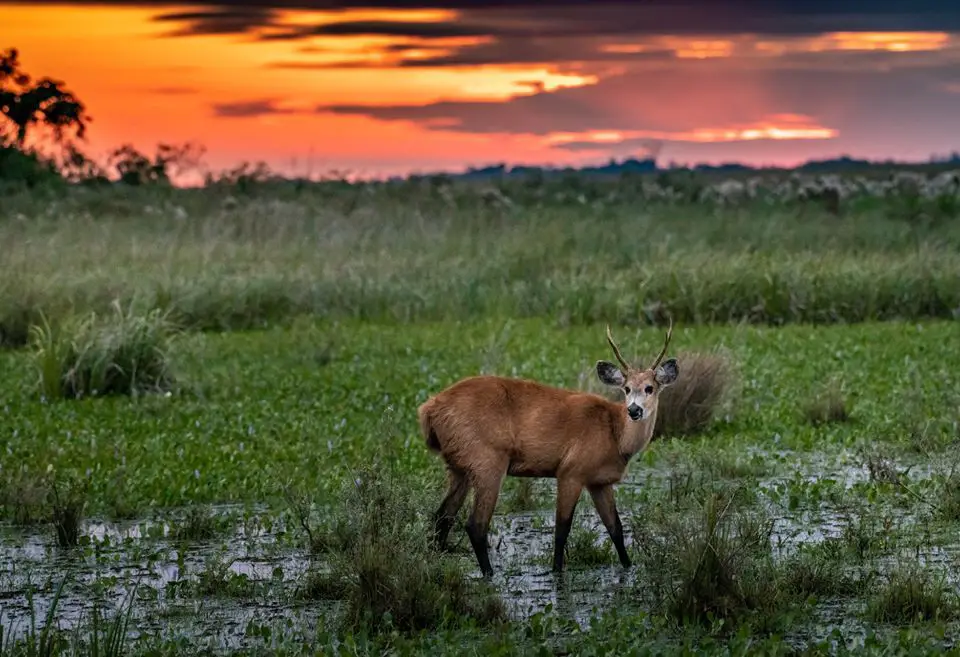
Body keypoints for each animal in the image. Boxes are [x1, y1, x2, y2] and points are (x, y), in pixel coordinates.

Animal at [416, 320, 680, 576]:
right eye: (626, 388)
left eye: (650, 388)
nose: (634, 410)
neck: (615, 435)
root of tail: (429, 409)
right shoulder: (571, 471)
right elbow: (562, 528)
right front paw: (556, 572)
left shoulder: (599, 481)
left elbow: (616, 529)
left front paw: (629, 567)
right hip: (487, 460)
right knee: (475, 525)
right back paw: (489, 574)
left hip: (459, 466)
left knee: (442, 518)